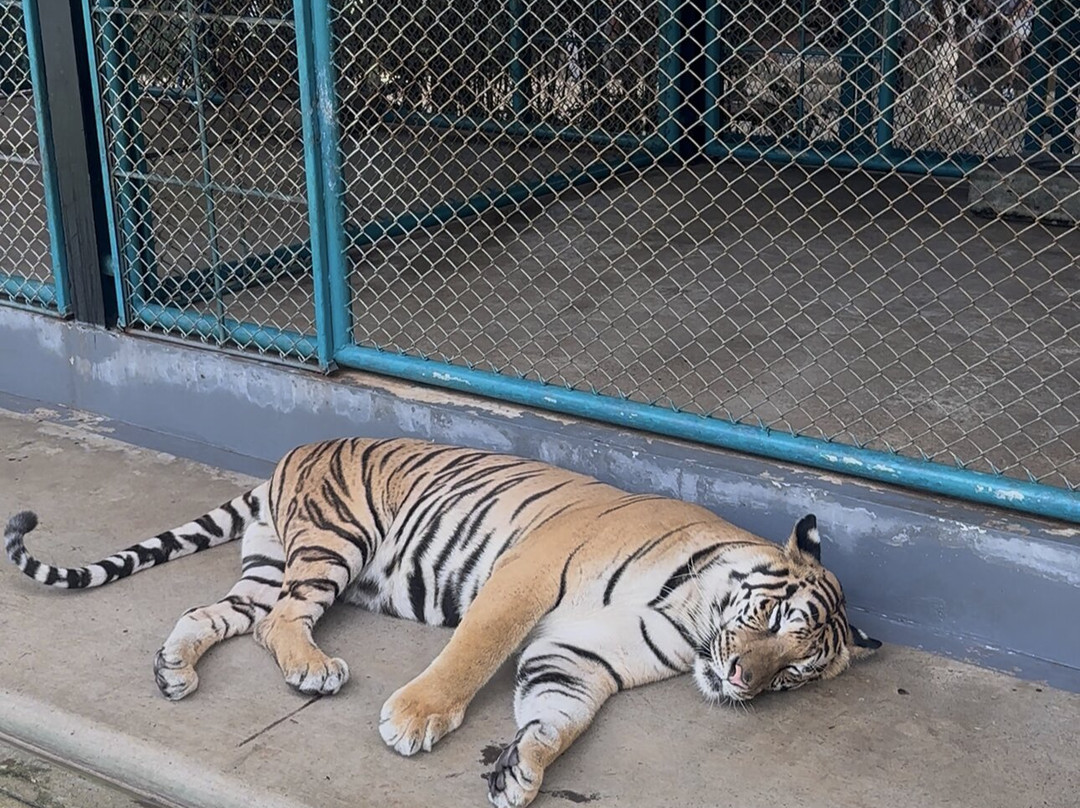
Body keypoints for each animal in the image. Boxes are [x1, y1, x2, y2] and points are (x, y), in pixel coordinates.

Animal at [4, 437, 881, 808]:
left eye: (795, 674)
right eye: (772, 616)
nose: (740, 681)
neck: (691, 619)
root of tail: (290, 456)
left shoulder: (584, 655)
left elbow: (558, 716)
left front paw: (522, 770)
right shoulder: (528, 575)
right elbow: (473, 653)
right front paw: (417, 717)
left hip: (268, 565)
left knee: (221, 614)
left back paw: (174, 671)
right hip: (334, 540)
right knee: (280, 619)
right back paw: (314, 669)